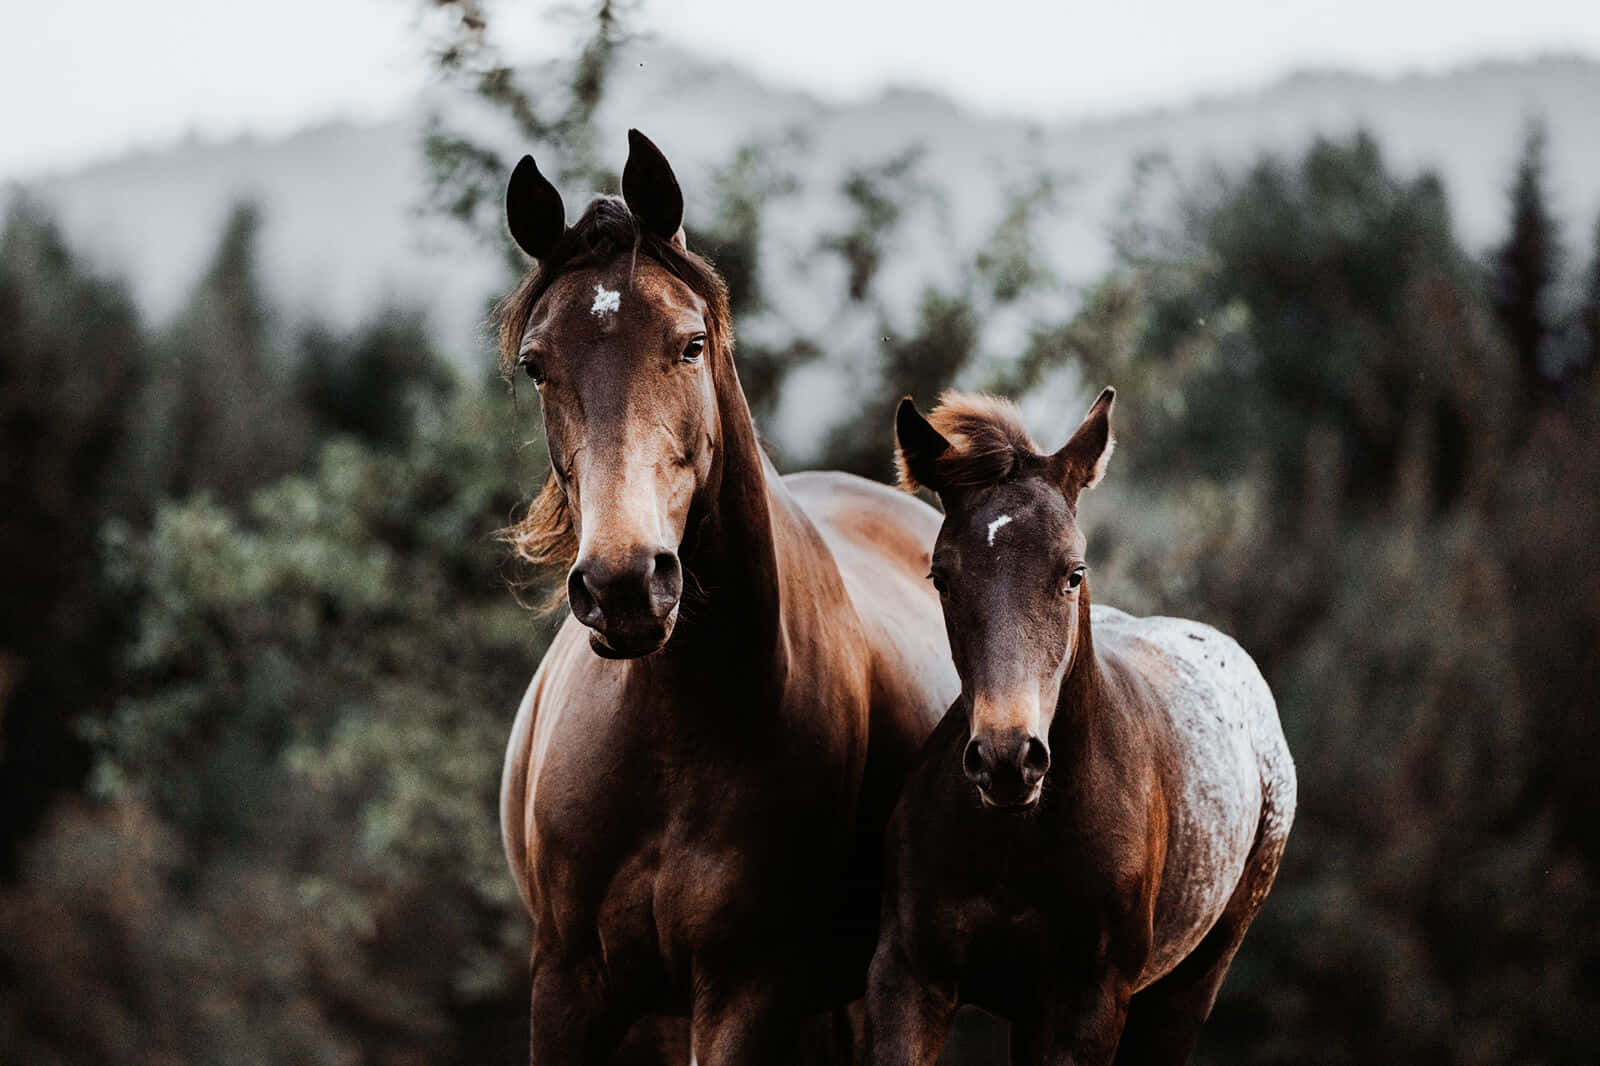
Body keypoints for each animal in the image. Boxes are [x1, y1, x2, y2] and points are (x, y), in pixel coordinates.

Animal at [495, 130, 959, 1065]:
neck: (676, 728)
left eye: (690, 344)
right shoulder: (567, 983)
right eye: (537, 365)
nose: (624, 585)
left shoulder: (747, 991)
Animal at [868, 388, 1296, 1066]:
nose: (1007, 758)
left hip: (1187, 989)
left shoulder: (1088, 1003)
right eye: (941, 576)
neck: (1020, 837)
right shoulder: (908, 976)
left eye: (1073, 573)